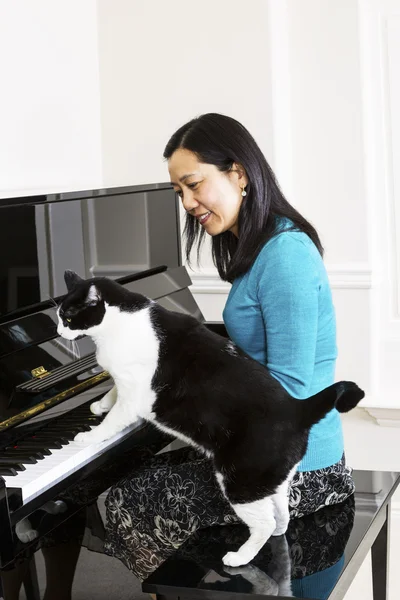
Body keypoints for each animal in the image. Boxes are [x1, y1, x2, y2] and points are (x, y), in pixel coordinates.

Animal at [57, 272, 366, 568]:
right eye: (59, 315)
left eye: (68, 317)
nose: (58, 331)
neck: (116, 326)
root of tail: (298, 408)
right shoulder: (123, 382)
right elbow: (111, 390)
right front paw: (98, 404)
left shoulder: (133, 395)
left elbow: (112, 421)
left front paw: (87, 435)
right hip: (272, 482)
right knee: (282, 513)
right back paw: (278, 533)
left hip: (240, 482)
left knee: (263, 523)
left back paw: (240, 557)